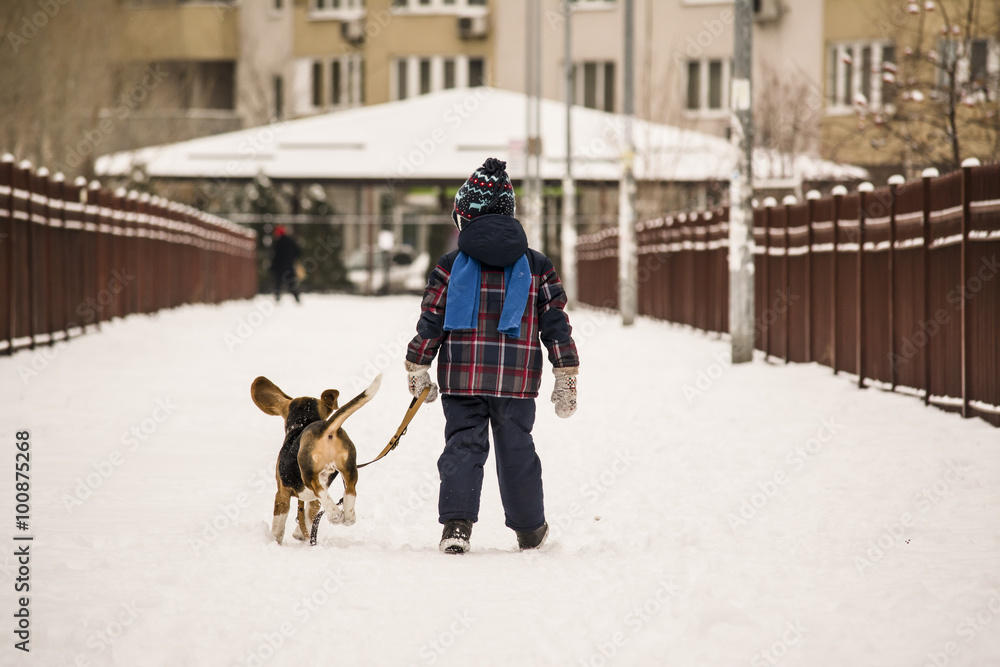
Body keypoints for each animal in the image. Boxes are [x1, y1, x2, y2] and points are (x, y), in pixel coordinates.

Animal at [252, 374, 380, 544]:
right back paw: (347, 516)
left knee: (318, 487)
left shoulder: (282, 493)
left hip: (308, 471)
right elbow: (309, 514)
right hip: (349, 467)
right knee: (349, 490)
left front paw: (274, 541)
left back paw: (334, 514)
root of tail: (326, 428)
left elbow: (279, 526)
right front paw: (301, 533)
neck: (303, 422)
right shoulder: (312, 501)